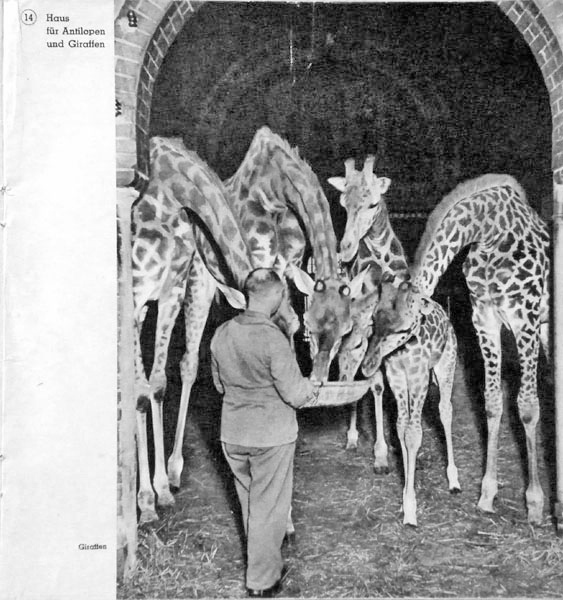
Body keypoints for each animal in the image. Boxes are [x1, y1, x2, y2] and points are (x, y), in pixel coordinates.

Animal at [329, 157, 461, 525]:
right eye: (342, 203)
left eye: (374, 203)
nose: (345, 250)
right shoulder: (388, 367)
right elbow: (394, 416)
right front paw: (386, 463)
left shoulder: (414, 373)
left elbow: (414, 429)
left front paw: (411, 504)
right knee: (354, 379)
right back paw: (357, 438)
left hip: (442, 367)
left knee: (444, 409)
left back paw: (453, 478)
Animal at [375, 173, 550, 526]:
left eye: (402, 329)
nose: (377, 361)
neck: (490, 232)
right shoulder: (484, 319)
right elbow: (492, 402)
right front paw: (486, 495)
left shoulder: (525, 319)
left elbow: (527, 406)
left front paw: (535, 504)